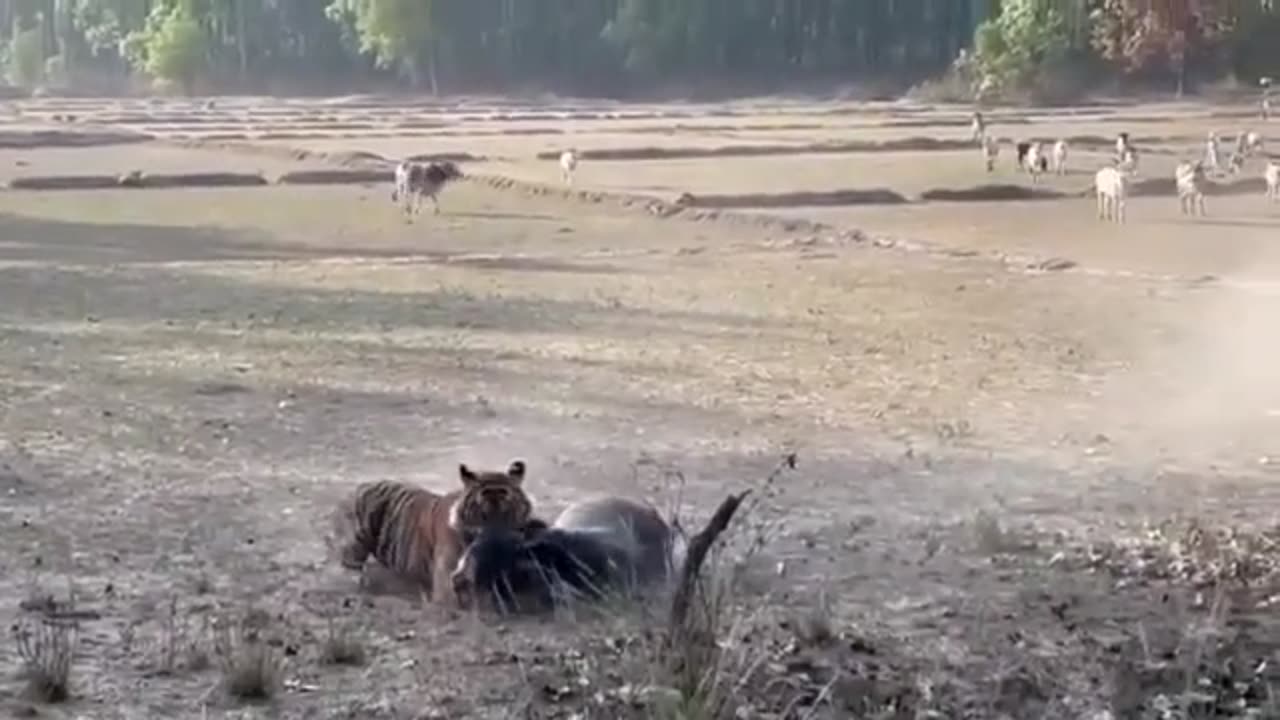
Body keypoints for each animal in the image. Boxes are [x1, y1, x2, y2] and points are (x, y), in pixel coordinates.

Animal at [326, 460, 535, 605]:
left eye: (506, 512)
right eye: (483, 515)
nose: (496, 541)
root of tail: (357, 488)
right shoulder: (446, 582)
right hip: (356, 543)